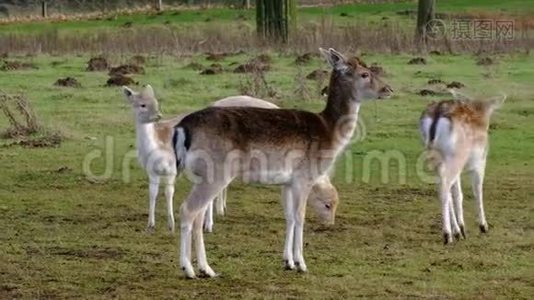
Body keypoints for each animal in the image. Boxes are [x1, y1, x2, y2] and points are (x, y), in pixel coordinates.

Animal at [174, 48, 392, 278]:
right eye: (365, 74)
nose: (388, 89)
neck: (329, 132)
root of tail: (183, 127)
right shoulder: (304, 177)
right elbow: (300, 216)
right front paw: (302, 264)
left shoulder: (287, 182)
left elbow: (289, 217)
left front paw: (288, 261)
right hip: (215, 173)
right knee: (187, 210)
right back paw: (189, 269)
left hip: (202, 176)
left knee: (197, 215)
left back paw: (205, 268)